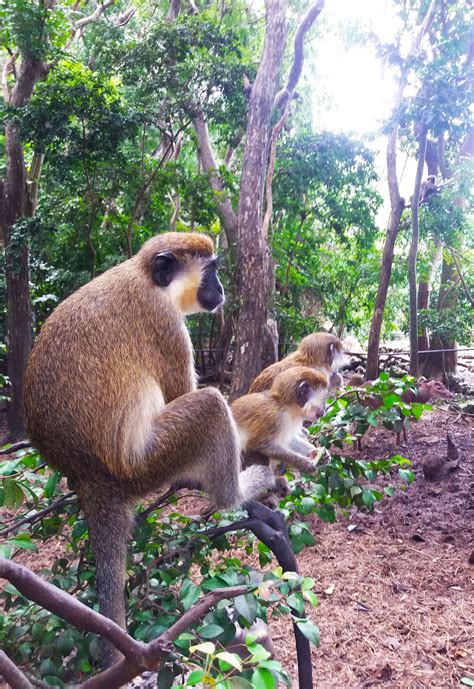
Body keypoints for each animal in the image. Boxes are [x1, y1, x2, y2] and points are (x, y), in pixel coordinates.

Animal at [23, 230, 274, 668]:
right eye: (211, 270)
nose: (222, 290)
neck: (148, 280)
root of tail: (94, 480)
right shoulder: (166, 325)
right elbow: (182, 393)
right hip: (147, 464)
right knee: (209, 405)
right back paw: (236, 492)